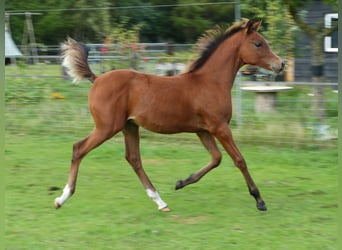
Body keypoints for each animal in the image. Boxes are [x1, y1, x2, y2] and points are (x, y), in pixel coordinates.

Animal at [54, 18, 284, 212]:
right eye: (258, 44)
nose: (280, 64)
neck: (209, 82)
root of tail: (97, 78)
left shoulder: (203, 130)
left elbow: (216, 158)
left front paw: (182, 182)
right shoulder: (219, 127)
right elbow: (239, 159)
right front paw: (259, 200)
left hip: (129, 126)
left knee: (133, 159)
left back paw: (160, 202)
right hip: (107, 127)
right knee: (79, 149)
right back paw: (62, 198)